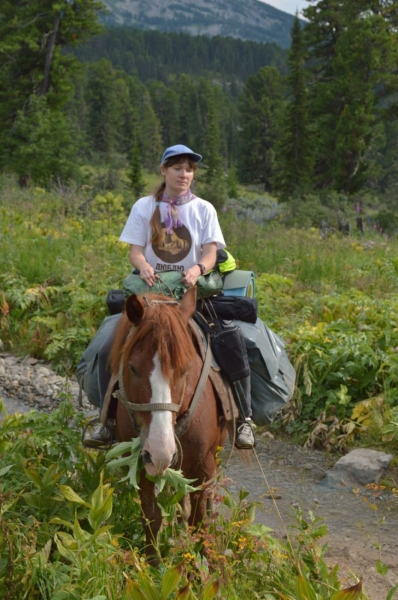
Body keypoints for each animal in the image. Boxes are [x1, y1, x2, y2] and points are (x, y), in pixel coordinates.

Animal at [109, 288, 227, 560]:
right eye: (133, 368)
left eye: (185, 370)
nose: (162, 453)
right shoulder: (142, 464)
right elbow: (151, 518)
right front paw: (152, 565)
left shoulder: (204, 466)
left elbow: (200, 522)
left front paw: (203, 566)